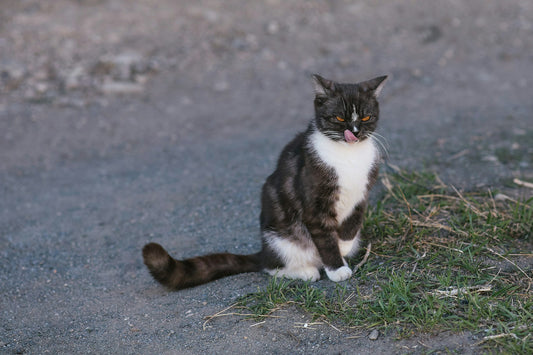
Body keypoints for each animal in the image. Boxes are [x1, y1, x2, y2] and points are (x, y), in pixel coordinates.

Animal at [142, 73, 386, 290]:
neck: (348, 157)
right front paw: (337, 268)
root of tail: (263, 251)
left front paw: (344, 247)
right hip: (281, 238)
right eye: (339, 118)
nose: (354, 132)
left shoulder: (361, 193)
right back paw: (306, 272)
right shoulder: (313, 202)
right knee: (271, 267)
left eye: (366, 117)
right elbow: (325, 237)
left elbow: (352, 224)